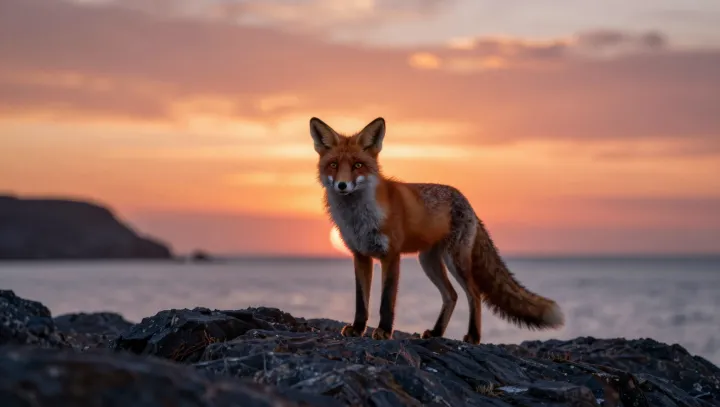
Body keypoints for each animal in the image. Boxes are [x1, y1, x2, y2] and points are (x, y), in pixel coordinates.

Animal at [309, 116, 564, 344]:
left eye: (357, 165)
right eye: (333, 165)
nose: (342, 185)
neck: (359, 217)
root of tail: (467, 202)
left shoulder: (391, 255)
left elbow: (386, 301)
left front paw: (384, 331)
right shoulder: (360, 255)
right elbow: (361, 301)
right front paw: (358, 328)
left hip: (455, 260)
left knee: (474, 294)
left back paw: (473, 336)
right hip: (428, 261)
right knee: (451, 295)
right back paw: (437, 332)